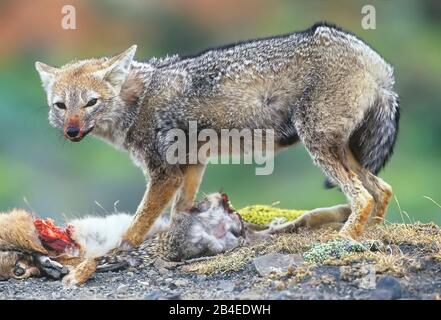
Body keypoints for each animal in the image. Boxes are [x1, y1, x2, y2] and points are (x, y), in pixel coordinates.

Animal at [35, 23, 398, 248]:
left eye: (91, 102)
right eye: (61, 105)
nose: (71, 131)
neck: (137, 100)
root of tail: (370, 55)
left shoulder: (164, 174)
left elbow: (139, 222)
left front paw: (120, 248)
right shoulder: (193, 164)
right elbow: (179, 212)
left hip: (321, 146)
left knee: (362, 196)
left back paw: (344, 238)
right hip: (345, 152)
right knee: (383, 189)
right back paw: (372, 230)